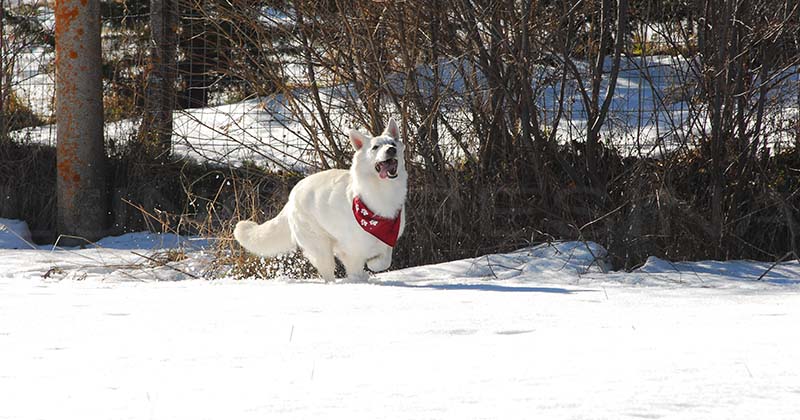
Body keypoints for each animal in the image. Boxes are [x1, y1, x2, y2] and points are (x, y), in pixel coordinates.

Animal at [231, 117, 406, 282]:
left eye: (392, 143)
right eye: (375, 147)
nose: (391, 150)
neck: (382, 190)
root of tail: (292, 197)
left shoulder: (386, 240)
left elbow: (384, 261)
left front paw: (372, 265)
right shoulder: (353, 251)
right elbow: (359, 267)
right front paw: (361, 279)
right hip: (320, 249)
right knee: (328, 274)